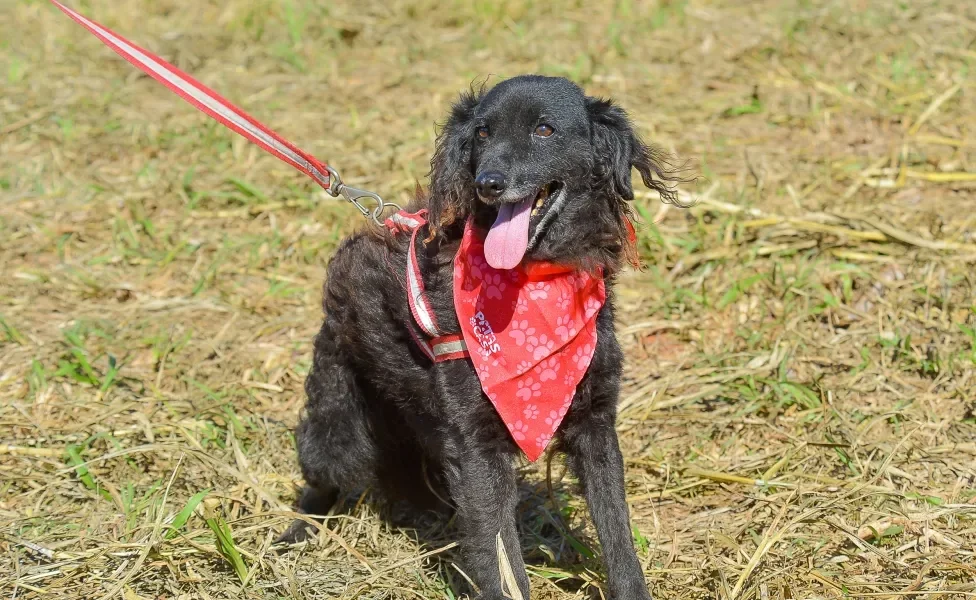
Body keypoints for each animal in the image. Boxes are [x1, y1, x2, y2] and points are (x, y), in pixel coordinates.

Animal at [278, 76, 684, 600]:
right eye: (483, 133)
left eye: (545, 129)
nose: (487, 183)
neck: (532, 281)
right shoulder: (475, 444)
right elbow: (501, 559)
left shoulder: (595, 422)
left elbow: (617, 533)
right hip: (341, 416)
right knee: (322, 474)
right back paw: (295, 533)